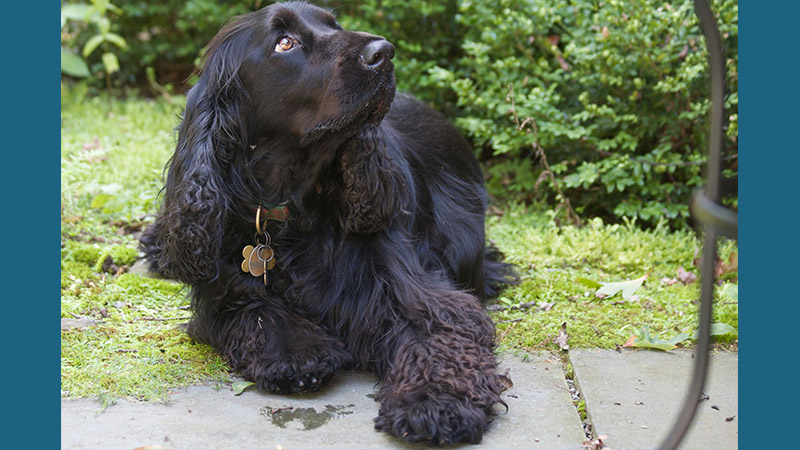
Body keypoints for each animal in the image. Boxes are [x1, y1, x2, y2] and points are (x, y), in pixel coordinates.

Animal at [141, 0, 516, 442]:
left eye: (334, 24)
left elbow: (439, 337)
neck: (292, 207)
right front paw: (298, 353)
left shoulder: (416, 291)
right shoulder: (225, 289)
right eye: (284, 42)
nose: (383, 52)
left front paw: (436, 401)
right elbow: (257, 311)